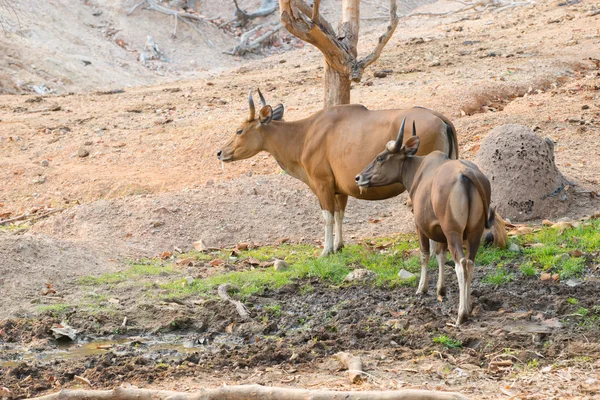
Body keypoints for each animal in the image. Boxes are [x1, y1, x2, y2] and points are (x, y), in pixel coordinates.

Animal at [218, 89, 458, 256]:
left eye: (239, 130)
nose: (220, 152)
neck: (303, 135)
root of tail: (441, 119)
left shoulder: (322, 183)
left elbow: (327, 216)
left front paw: (326, 250)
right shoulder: (341, 188)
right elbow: (340, 214)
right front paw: (339, 246)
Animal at [356, 119, 492, 324]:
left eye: (380, 158)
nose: (358, 177)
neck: (418, 172)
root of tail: (467, 173)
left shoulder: (420, 226)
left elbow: (425, 254)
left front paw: (422, 288)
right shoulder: (440, 232)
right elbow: (441, 255)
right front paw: (441, 290)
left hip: (453, 232)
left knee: (461, 264)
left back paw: (461, 315)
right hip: (474, 233)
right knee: (470, 263)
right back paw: (468, 307)